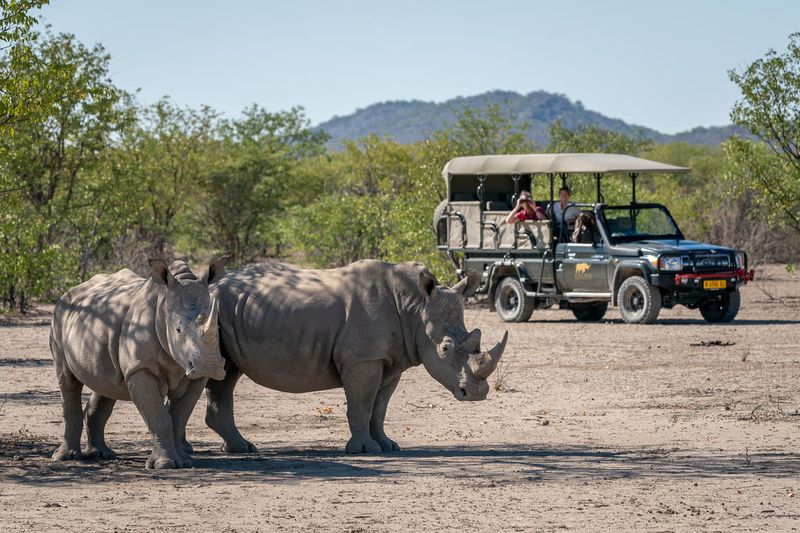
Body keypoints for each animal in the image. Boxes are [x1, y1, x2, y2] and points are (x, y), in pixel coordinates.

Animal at [49, 258, 228, 469]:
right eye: (177, 330)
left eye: (218, 328)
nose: (209, 366)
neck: (163, 308)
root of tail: (72, 290)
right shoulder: (140, 368)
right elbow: (159, 417)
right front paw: (164, 465)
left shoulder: (195, 377)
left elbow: (179, 418)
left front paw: (184, 461)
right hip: (59, 317)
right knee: (68, 381)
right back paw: (65, 457)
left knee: (105, 383)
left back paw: (101, 454)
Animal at [204, 260, 507, 454]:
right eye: (444, 349)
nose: (477, 393)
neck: (415, 309)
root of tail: (211, 286)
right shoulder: (363, 360)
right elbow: (362, 404)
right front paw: (364, 450)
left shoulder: (389, 361)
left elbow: (379, 409)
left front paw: (388, 446)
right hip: (215, 312)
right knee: (223, 374)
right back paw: (242, 448)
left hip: (229, 314)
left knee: (227, 374)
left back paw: (240, 448)